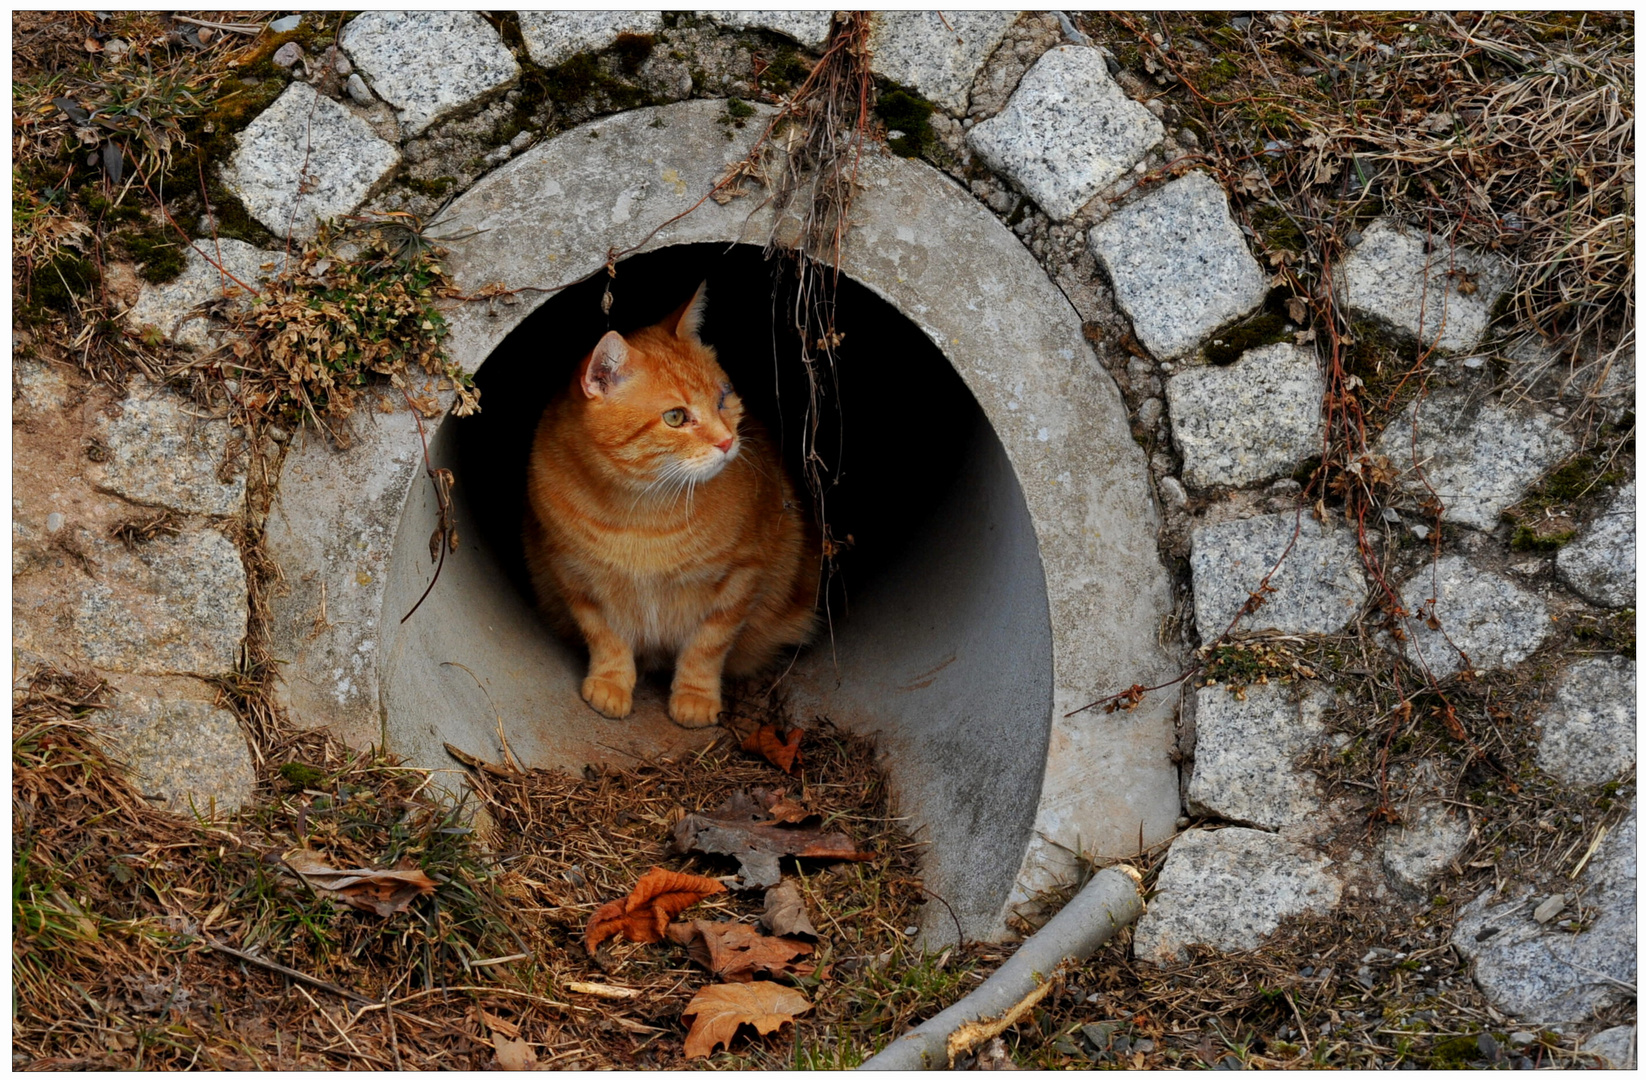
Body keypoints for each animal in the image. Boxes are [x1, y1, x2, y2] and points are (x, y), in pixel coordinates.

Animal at [520, 283, 816, 730]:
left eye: (723, 397)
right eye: (675, 417)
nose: (727, 441)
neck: (644, 513)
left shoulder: (740, 579)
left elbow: (706, 647)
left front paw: (694, 698)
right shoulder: (572, 576)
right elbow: (605, 637)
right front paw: (610, 683)